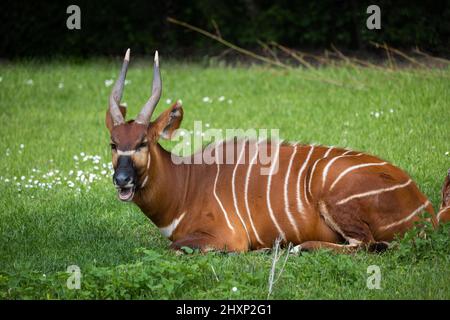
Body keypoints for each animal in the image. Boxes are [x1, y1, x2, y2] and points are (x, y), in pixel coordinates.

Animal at [106, 48, 450, 252]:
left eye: (143, 142)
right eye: (113, 143)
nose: (121, 180)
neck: (185, 186)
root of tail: (425, 209)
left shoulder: (225, 238)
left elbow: (173, 248)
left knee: (366, 245)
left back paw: (299, 248)